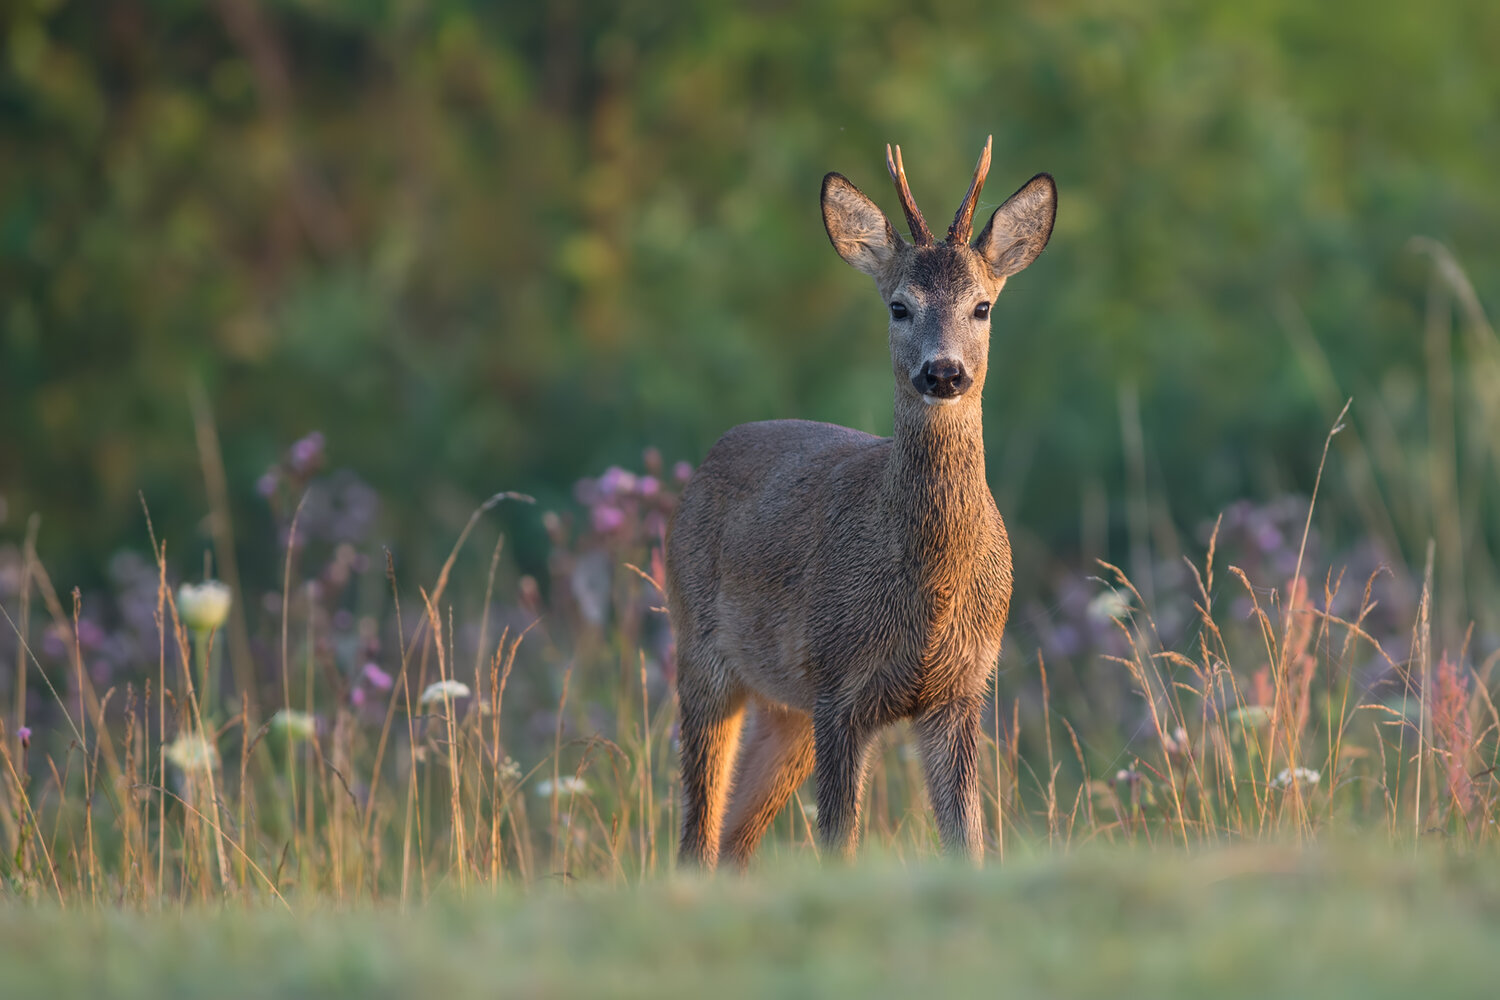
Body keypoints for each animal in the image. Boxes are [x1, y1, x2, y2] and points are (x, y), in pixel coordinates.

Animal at [666, 136, 1056, 869]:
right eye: (899, 306)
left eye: (983, 306)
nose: (943, 372)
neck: (927, 591)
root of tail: (704, 464)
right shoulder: (838, 683)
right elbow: (837, 840)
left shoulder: (961, 689)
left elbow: (968, 838)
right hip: (701, 650)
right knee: (697, 832)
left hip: (787, 707)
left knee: (733, 838)